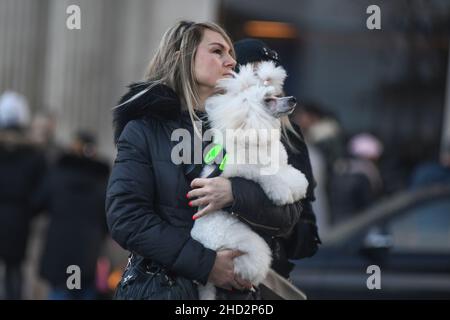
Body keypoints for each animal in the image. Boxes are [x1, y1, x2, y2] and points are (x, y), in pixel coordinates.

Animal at [190, 61, 310, 298]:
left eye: (276, 94)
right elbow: (269, 178)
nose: (292, 99)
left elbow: (288, 173)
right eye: (268, 100)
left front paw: (299, 185)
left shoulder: (281, 164)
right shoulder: (246, 168)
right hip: (249, 248)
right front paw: (283, 194)